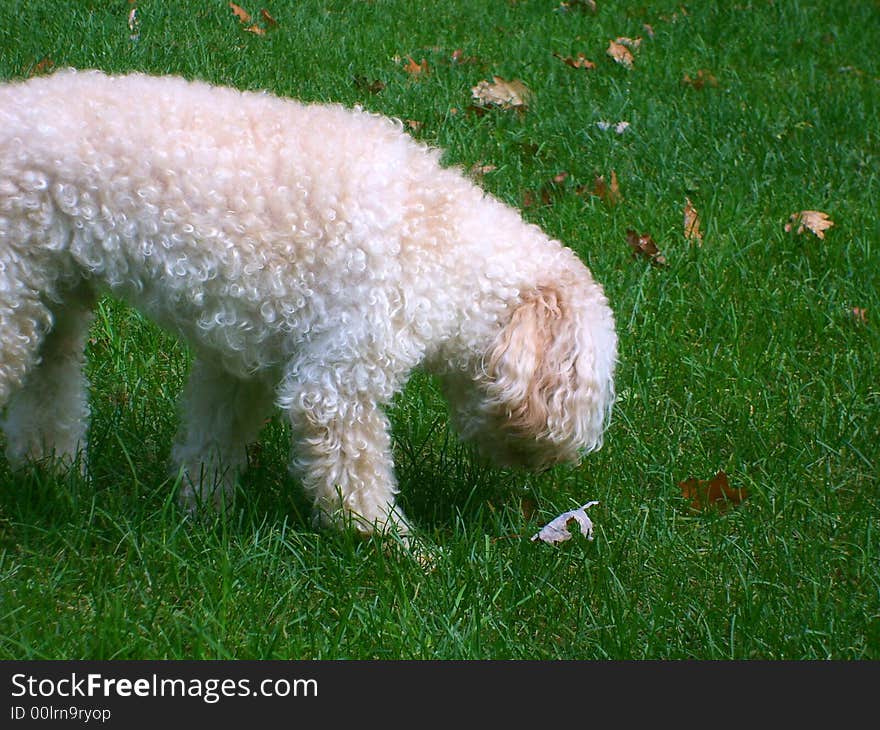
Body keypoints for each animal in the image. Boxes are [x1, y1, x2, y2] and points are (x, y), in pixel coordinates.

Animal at [0, 71, 616, 540]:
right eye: (578, 394)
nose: (554, 462)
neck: (444, 244)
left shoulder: (237, 363)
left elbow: (211, 440)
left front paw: (203, 515)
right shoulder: (339, 383)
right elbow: (356, 480)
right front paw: (397, 551)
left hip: (52, 300)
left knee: (49, 392)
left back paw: (51, 473)